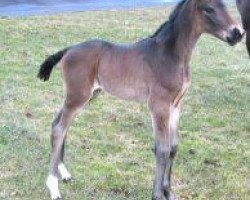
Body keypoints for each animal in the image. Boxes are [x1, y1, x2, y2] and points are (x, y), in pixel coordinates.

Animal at [38, 0, 243, 199]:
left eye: (225, 4)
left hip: (86, 95)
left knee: (58, 124)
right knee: (59, 130)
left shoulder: (176, 105)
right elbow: (162, 149)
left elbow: (173, 147)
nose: (238, 33)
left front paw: (169, 191)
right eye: (208, 9)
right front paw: (158, 194)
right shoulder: (159, 105)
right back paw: (54, 188)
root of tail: (69, 49)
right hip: (78, 95)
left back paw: (64, 173)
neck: (171, 55)